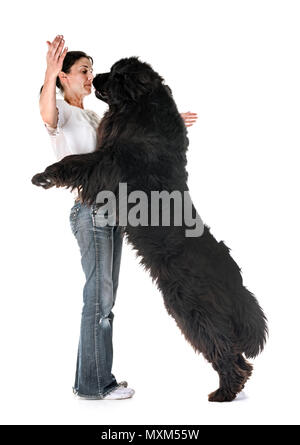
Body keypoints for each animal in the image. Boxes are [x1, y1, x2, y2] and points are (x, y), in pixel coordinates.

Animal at [32, 57, 268, 400]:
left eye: (118, 75)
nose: (96, 77)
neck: (140, 109)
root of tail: (233, 277)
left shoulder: (111, 163)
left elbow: (78, 160)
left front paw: (45, 175)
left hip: (192, 309)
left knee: (222, 347)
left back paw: (224, 392)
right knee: (233, 353)